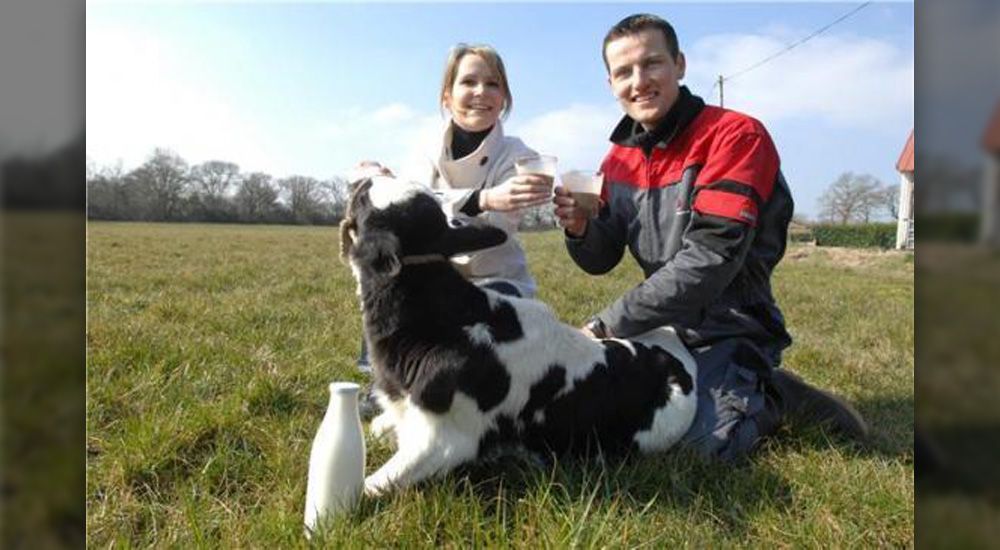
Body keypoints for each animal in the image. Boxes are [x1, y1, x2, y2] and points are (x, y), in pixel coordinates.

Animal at [340, 179, 700, 498]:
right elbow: (376, 427)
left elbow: (367, 488)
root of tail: (673, 356)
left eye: (365, 198)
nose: (358, 180)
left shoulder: (444, 441)